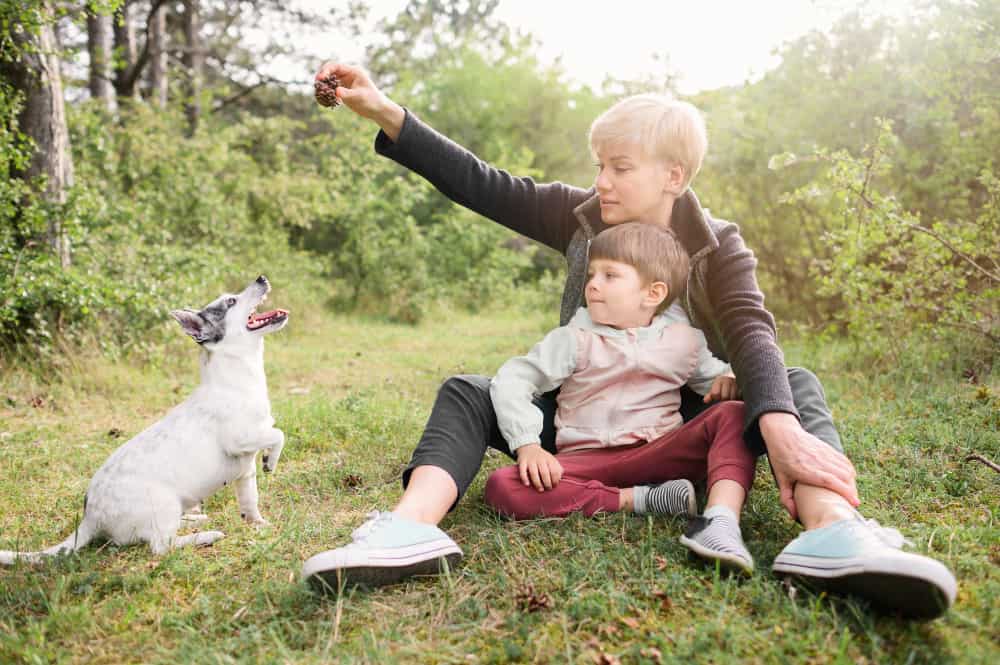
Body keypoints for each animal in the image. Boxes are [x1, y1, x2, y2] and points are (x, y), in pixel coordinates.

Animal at [0, 274, 290, 560]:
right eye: (231, 301)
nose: (261, 277)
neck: (236, 379)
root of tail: (90, 518)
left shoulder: (245, 472)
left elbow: (250, 502)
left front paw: (259, 523)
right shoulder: (239, 440)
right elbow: (278, 435)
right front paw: (271, 461)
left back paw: (194, 519)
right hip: (165, 506)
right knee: (162, 546)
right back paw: (204, 536)